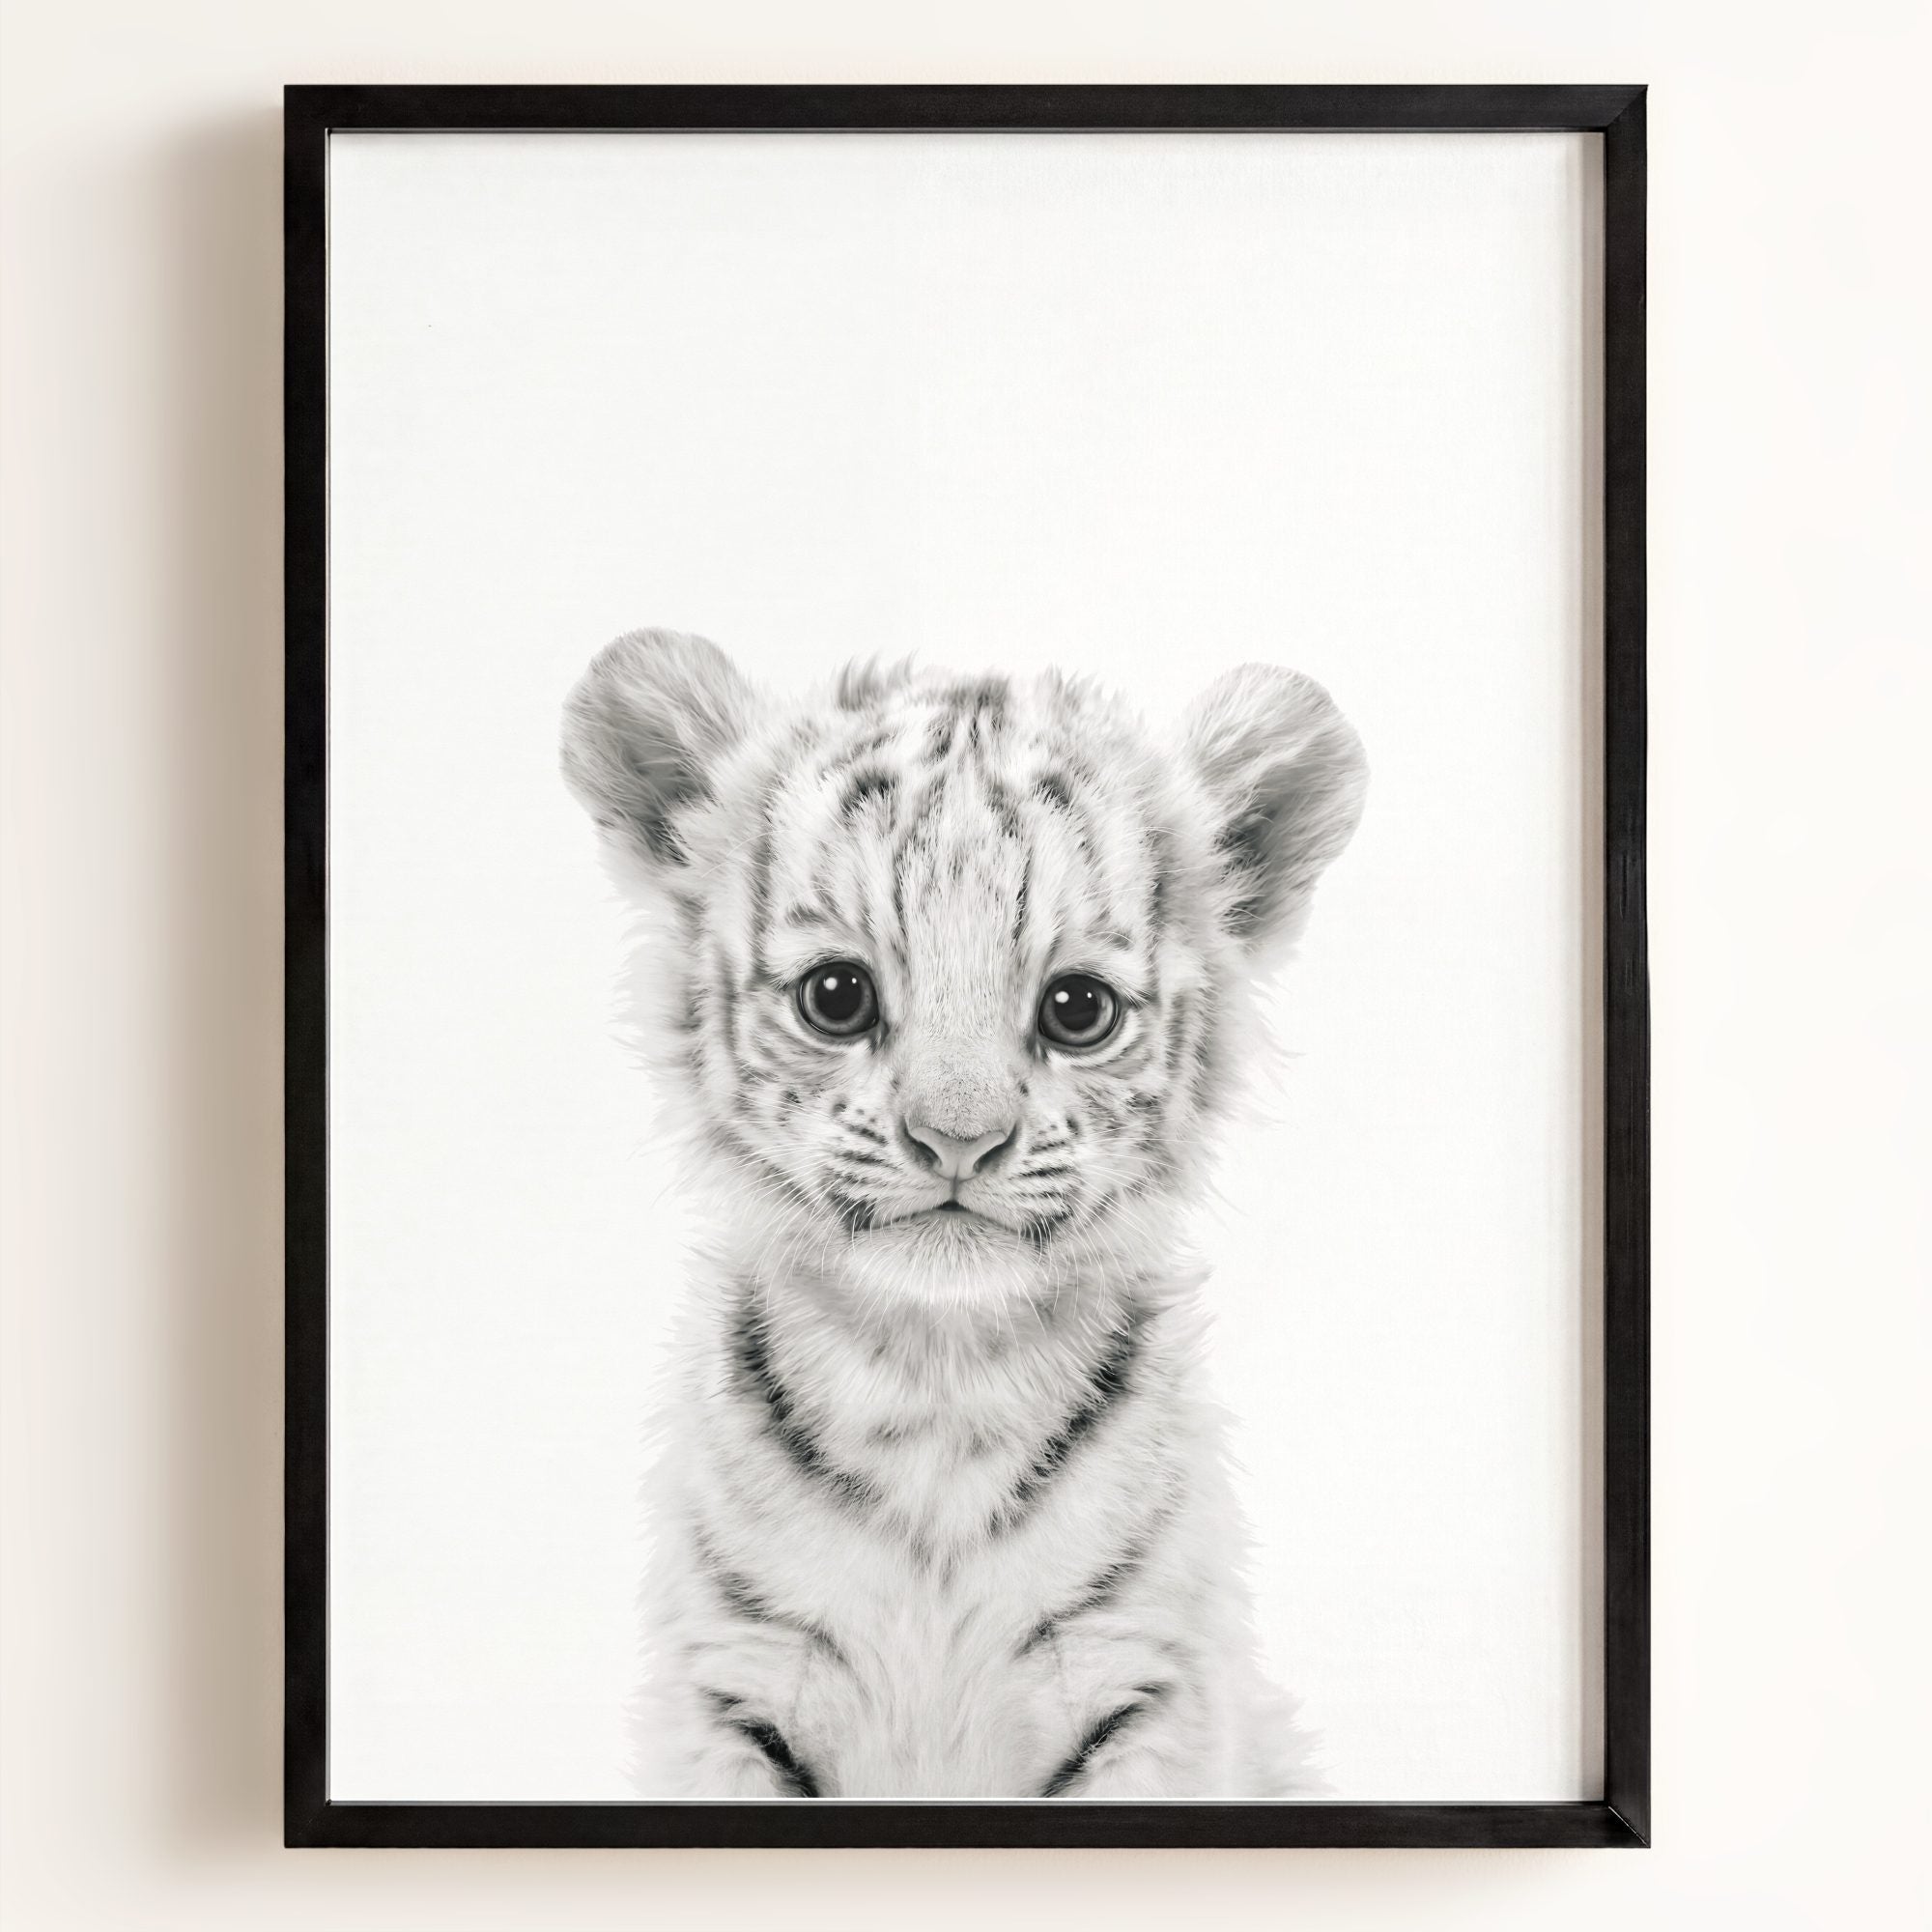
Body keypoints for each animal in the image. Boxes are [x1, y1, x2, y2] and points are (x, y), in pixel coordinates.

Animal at [561, 628, 1367, 1799]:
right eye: (836, 995)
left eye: (1077, 1009)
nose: (956, 1139)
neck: (935, 1385)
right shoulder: (735, 1684)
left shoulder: (1140, 1684)